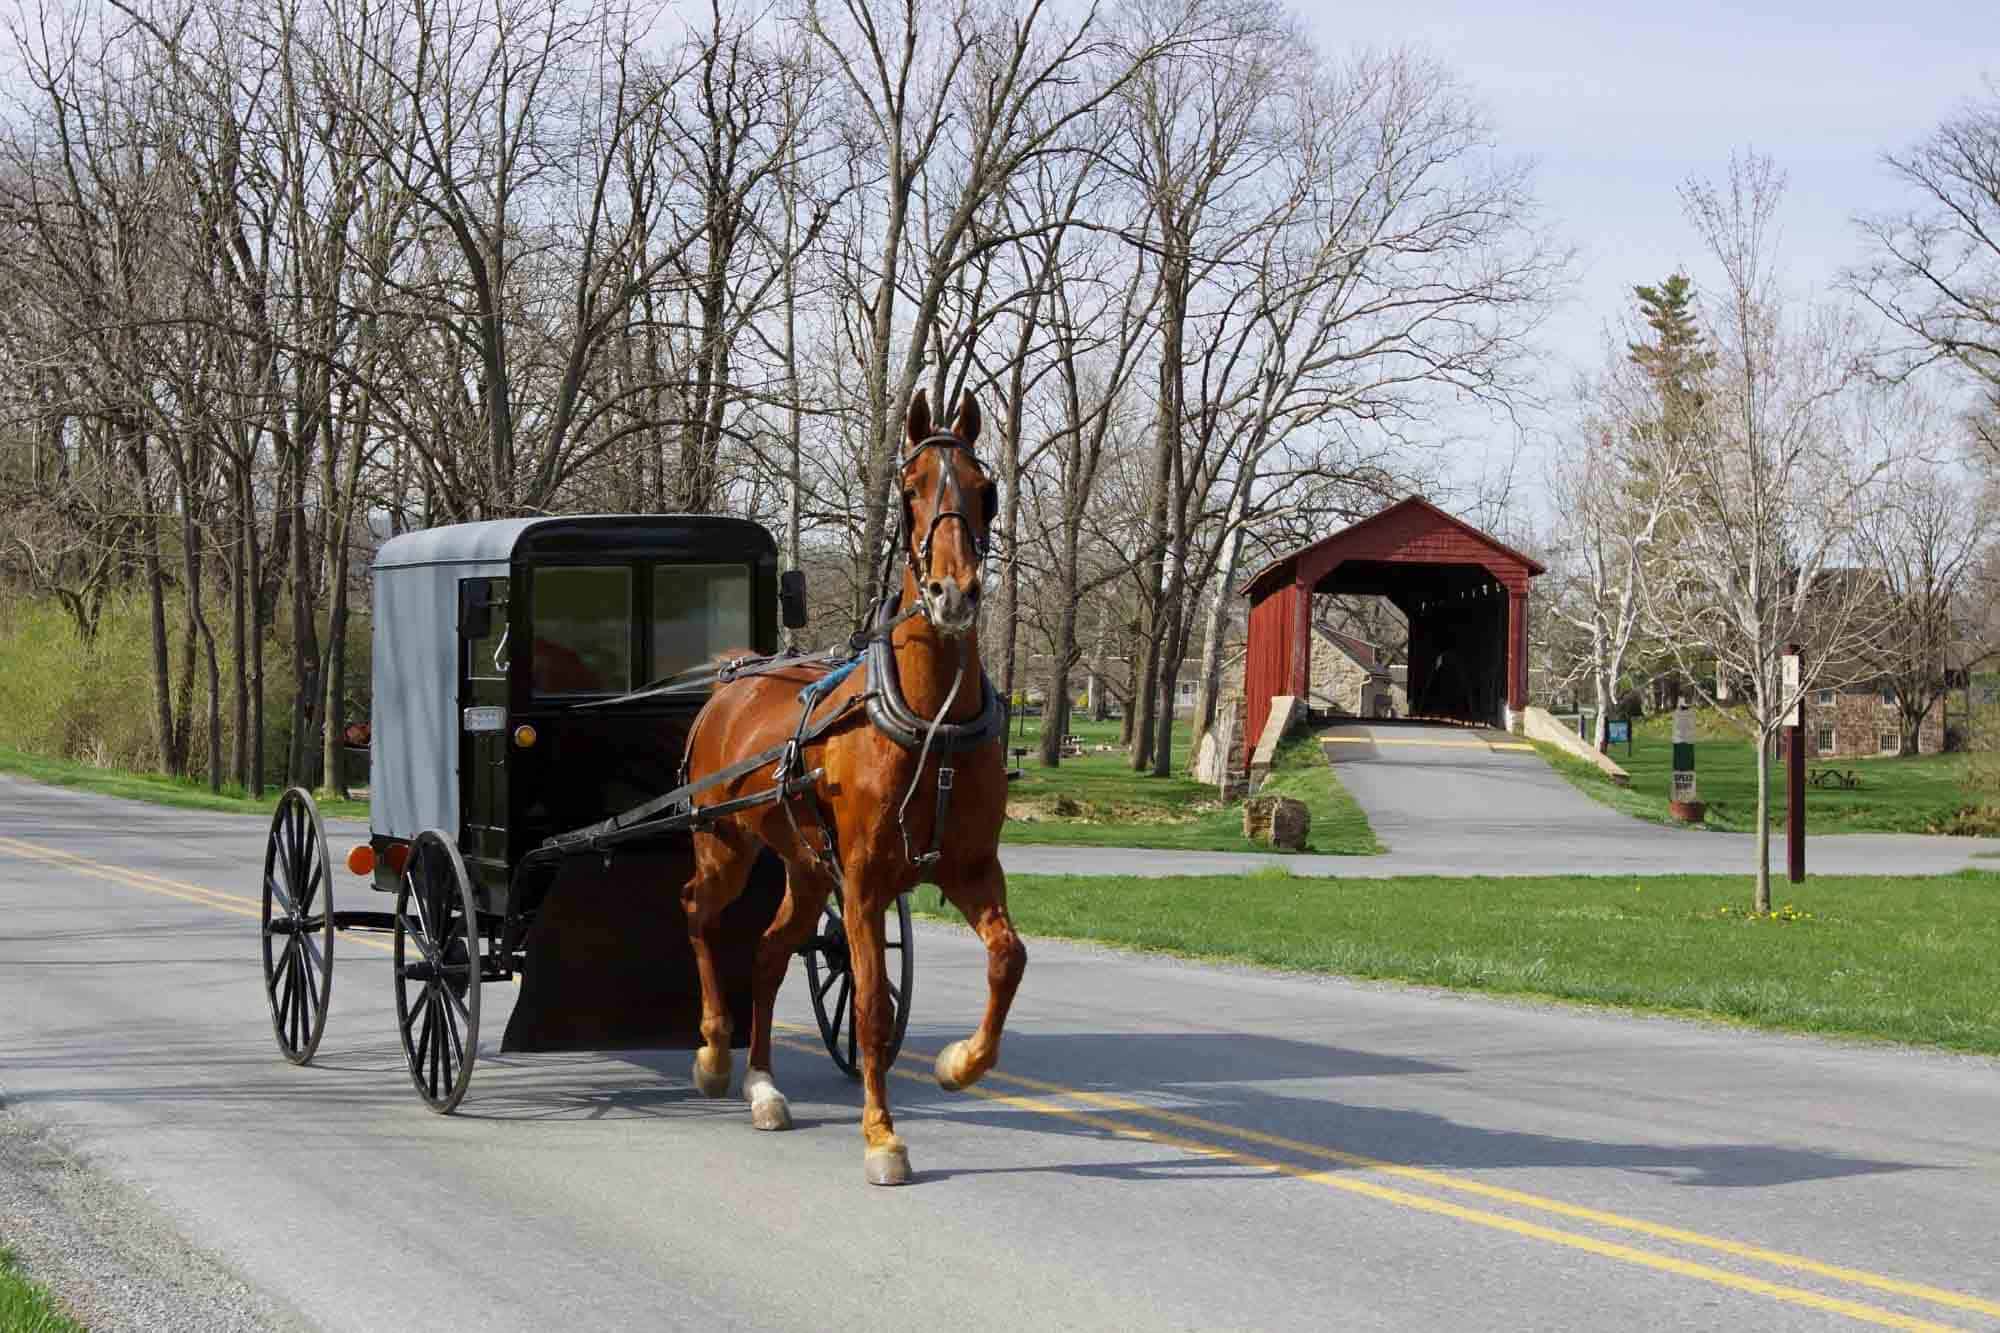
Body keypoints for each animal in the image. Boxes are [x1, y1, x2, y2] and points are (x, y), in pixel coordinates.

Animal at [676, 386, 1024, 1184]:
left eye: (985, 491)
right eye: (911, 489)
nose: (953, 594)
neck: (930, 719)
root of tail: (734, 675)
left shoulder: (969, 868)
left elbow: (1007, 958)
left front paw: (961, 1063)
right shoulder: (863, 882)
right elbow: (869, 1005)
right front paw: (881, 1134)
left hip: (805, 868)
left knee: (769, 952)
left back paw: (763, 1086)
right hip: (725, 845)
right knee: (699, 913)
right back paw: (713, 1049)